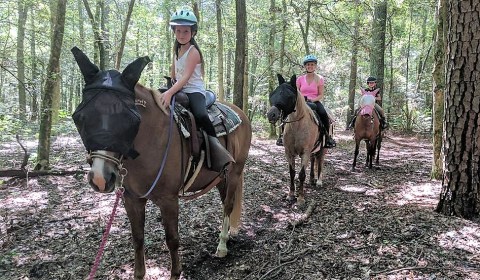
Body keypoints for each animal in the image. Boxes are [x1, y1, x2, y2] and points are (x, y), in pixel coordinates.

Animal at [71, 47, 253, 278]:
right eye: (80, 117)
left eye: (130, 120)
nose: (100, 178)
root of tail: (240, 112)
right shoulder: (131, 199)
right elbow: (138, 239)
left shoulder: (169, 200)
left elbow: (172, 240)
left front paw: (176, 273)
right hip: (222, 175)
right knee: (224, 202)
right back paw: (227, 236)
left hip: (236, 170)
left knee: (228, 204)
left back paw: (221, 246)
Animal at [264, 74, 328, 206]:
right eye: (273, 93)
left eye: (289, 96)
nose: (271, 114)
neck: (297, 126)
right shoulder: (289, 152)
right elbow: (292, 173)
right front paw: (291, 195)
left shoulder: (305, 153)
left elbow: (301, 174)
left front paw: (301, 198)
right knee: (314, 160)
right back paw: (312, 179)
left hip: (323, 149)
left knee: (320, 162)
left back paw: (319, 181)